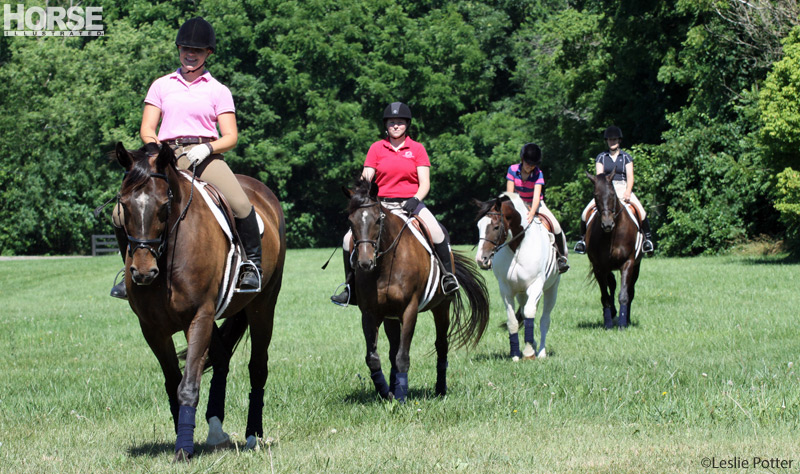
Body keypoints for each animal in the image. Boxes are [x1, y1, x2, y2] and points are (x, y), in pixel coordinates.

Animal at [111, 143, 288, 462]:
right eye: (124, 205)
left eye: (164, 206)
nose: (143, 272)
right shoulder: (152, 328)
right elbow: (173, 383)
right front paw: (183, 438)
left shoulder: (199, 317)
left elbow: (188, 385)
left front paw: (183, 449)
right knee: (221, 358)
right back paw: (215, 430)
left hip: (262, 306)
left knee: (257, 366)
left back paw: (253, 435)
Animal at [342, 180, 490, 402]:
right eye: (351, 222)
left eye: (377, 220)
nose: (365, 263)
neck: (386, 265)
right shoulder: (369, 313)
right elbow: (373, 358)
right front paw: (387, 393)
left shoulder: (409, 310)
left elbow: (403, 357)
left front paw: (401, 397)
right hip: (391, 316)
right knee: (393, 350)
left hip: (441, 308)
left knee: (441, 345)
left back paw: (440, 389)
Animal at [472, 193, 560, 360]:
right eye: (478, 226)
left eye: (496, 227)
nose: (481, 260)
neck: (518, 247)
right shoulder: (506, 291)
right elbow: (512, 321)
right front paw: (515, 355)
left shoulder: (536, 285)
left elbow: (531, 314)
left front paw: (528, 353)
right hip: (522, 294)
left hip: (551, 289)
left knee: (544, 320)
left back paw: (541, 352)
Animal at [580, 170, 644, 330]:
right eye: (596, 195)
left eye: (612, 194)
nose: (607, 224)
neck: (611, 235)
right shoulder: (599, 267)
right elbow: (605, 297)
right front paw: (608, 323)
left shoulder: (628, 263)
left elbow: (624, 295)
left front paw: (622, 324)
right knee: (612, 284)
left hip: (636, 266)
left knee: (630, 291)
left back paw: (626, 319)